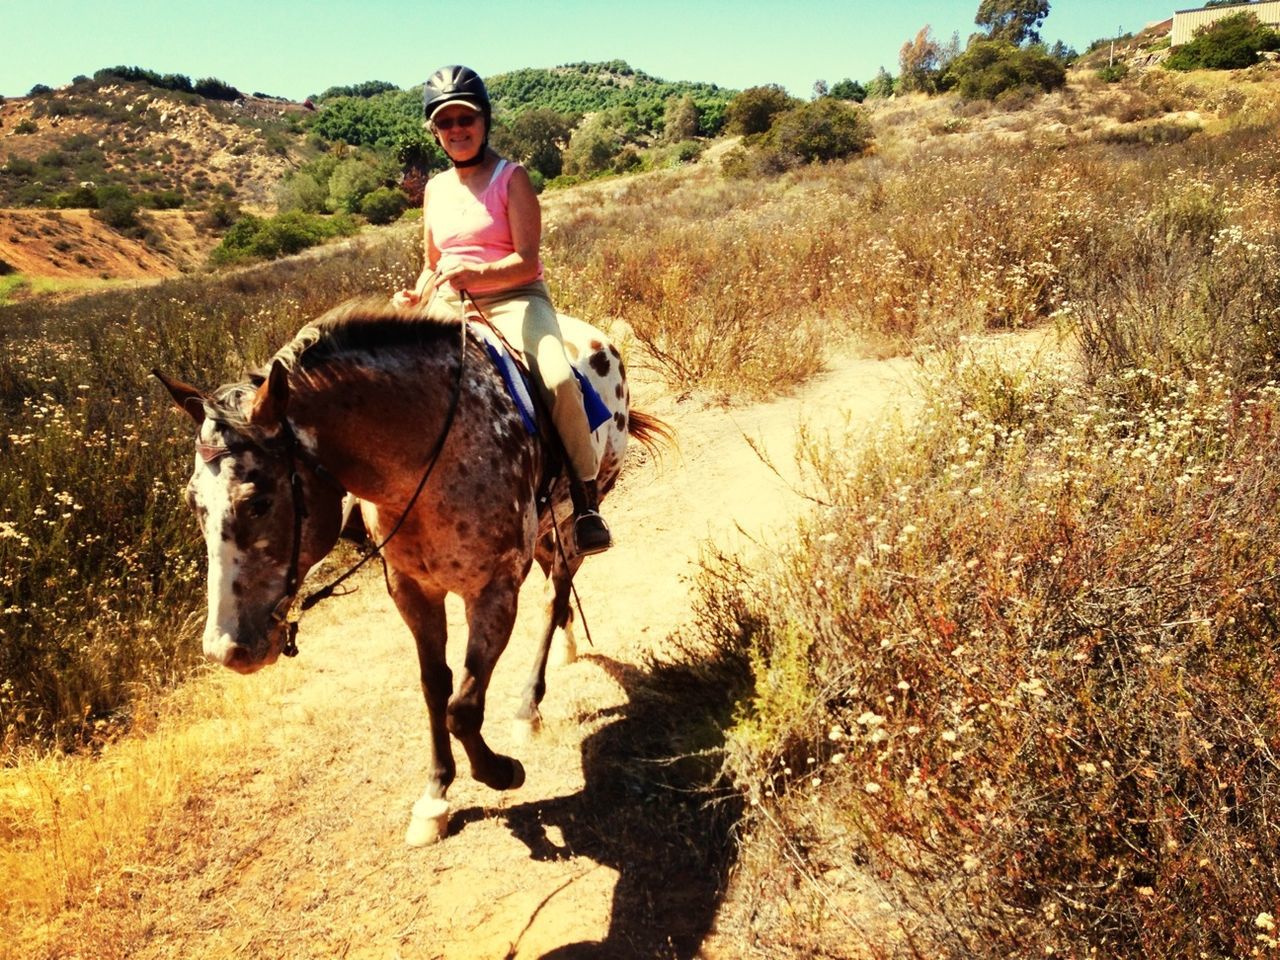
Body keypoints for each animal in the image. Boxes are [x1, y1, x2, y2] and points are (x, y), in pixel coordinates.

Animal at [154, 304, 665, 844]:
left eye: (257, 502)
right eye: (193, 502)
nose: (226, 649)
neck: (432, 455)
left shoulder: (495, 590)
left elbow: (463, 707)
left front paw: (501, 771)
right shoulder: (412, 591)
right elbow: (435, 688)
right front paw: (435, 797)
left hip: (576, 517)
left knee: (555, 596)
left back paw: (529, 706)